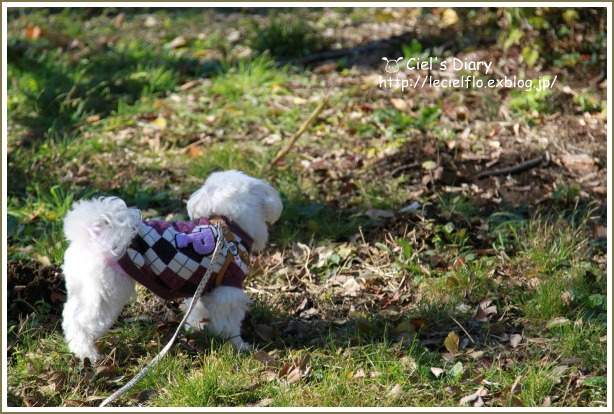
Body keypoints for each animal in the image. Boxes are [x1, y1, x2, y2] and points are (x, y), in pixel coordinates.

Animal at [62, 170, 284, 360]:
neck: (229, 226)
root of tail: (91, 234)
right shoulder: (227, 289)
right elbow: (228, 323)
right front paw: (237, 345)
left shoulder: (203, 286)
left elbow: (197, 311)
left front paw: (196, 329)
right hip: (107, 291)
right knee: (81, 322)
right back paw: (87, 353)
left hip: (83, 287)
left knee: (69, 314)